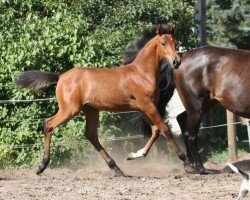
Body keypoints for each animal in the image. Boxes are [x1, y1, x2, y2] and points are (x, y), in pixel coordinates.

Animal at [14, 25, 187, 177]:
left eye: (176, 43)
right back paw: (41, 166)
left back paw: (116, 168)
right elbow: (164, 129)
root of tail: (61, 76)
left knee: (91, 135)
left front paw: (133, 155)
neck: (141, 74)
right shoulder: (147, 106)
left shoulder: (144, 108)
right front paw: (186, 162)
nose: (176, 62)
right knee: (48, 124)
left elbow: (155, 131)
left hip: (91, 110)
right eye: (163, 43)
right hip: (69, 110)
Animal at [125, 26, 250, 173]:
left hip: (204, 104)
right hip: (196, 106)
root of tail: (183, 56)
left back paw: (190, 164)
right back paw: (200, 168)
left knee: (182, 122)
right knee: (190, 135)